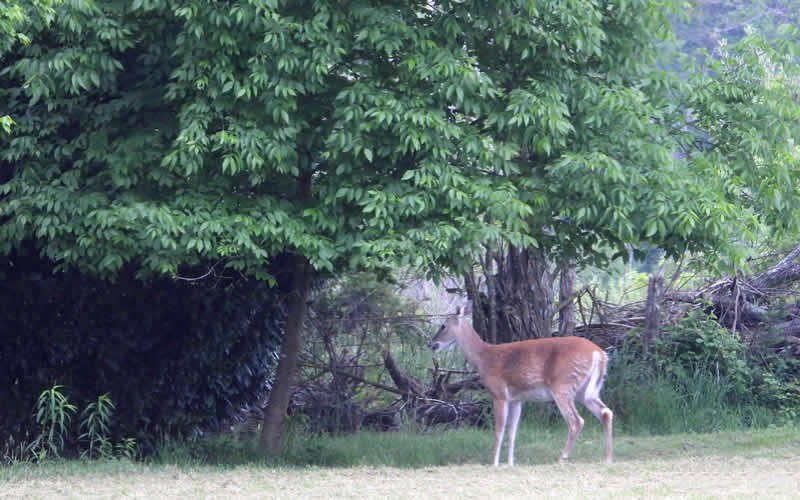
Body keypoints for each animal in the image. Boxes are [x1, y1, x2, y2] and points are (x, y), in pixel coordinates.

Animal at [432, 302, 612, 466]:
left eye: (443, 326)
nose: (431, 344)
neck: (484, 359)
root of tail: (599, 353)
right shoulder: (517, 399)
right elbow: (512, 431)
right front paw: (510, 463)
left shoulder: (499, 393)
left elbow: (499, 430)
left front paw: (494, 463)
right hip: (586, 390)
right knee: (606, 412)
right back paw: (608, 458)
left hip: (563, 385)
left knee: (576, 421)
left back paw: (561, 458)